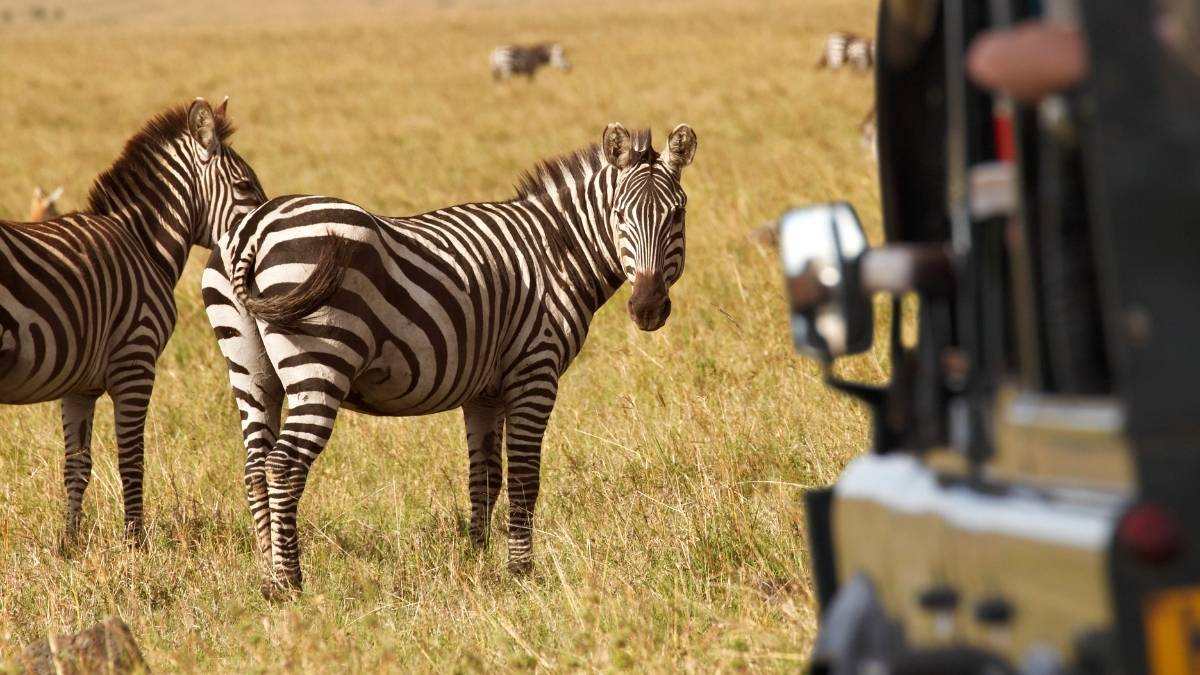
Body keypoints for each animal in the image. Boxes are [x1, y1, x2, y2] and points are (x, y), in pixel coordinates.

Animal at [0, 97, 266, 550]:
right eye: (246, 186)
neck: (142, 242)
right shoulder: (136, 362)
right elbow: (131, 458)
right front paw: (135, 542)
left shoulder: (80, 385)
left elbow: (77, 464)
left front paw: (69, 543)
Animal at [203, 122, 698, 597]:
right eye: (619, 215)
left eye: (678, 215)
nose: (648, 309)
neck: (555, 251)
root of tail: (254, 228)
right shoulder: (534, 372)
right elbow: (524, 477)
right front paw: (521, 572)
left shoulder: (484, 392)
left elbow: (485, 478)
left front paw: (478, 560)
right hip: (319, 362)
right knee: (283, 465)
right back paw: (289, 584)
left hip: (251, 370)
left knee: (255, 467)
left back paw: (267, 576)